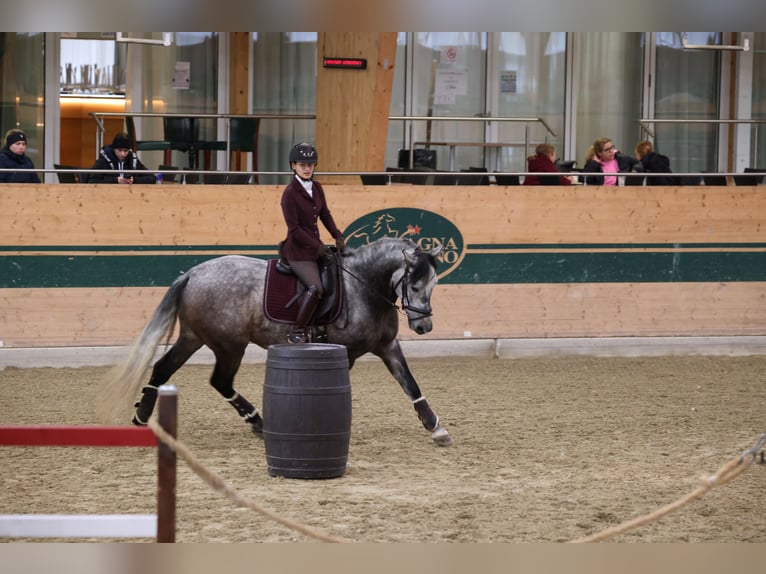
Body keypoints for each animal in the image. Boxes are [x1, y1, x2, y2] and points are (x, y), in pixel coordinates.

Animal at [99, 236, 452, 448]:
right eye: (415, 285)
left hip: (193, 338)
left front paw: (435, 426)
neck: (364, 286)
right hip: (229, 345)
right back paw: (258, 421)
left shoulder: (388, 346)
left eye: (433, 284)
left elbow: (410, 384)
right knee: (220, 380)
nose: (424, 325)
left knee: (164, 368)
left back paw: (143, 417)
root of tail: (192, 274)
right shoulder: (344, 353)